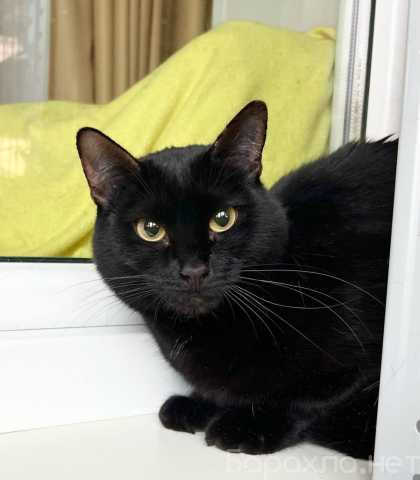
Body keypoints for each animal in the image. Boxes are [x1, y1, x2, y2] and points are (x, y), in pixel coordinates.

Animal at [77, 101, 397, 459]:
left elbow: (310, 397)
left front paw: (248, 424)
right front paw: (199, 404)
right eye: (150, 228)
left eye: (222, 219)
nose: (194, 269)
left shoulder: (364, 352)